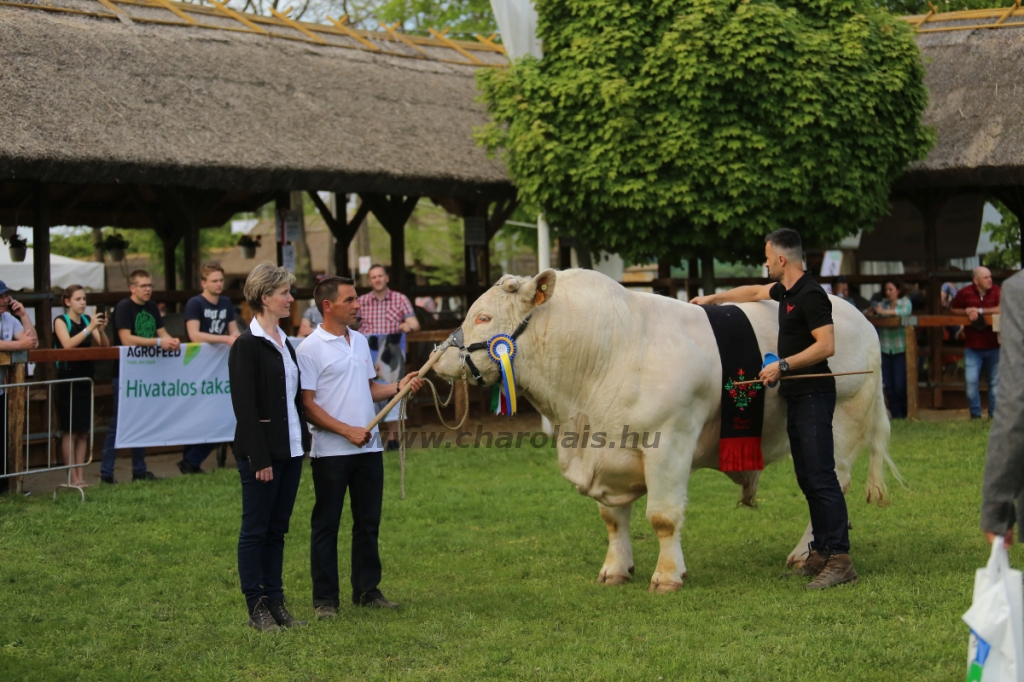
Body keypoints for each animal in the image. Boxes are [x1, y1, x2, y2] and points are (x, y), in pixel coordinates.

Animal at [432, 266, 897, 589]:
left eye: (483, 317)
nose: (437, 357)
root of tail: (859, 318)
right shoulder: (606, 449)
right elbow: (612, 518)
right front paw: (615, 570)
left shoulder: (669, 441)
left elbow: (663, 517)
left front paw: (669, 576)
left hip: (837, 425)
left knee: (830, 485)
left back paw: (809, 556)